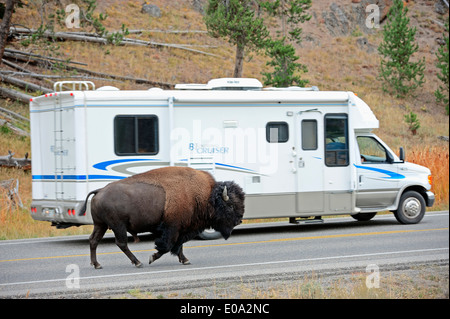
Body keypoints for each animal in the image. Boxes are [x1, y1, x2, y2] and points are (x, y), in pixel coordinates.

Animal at [79, 168, 244, 270]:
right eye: (230, 206)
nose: (239, 220)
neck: (206, 196)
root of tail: (99, 191)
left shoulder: (181, 229)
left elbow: (178, 245)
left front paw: (185, 260)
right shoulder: (172, 228)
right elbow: (167, 246)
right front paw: (152, 258)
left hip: (100, 225)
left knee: (94, 240)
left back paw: (97, 264)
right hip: (118, 226)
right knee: (121, 243)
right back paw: (138, 263)